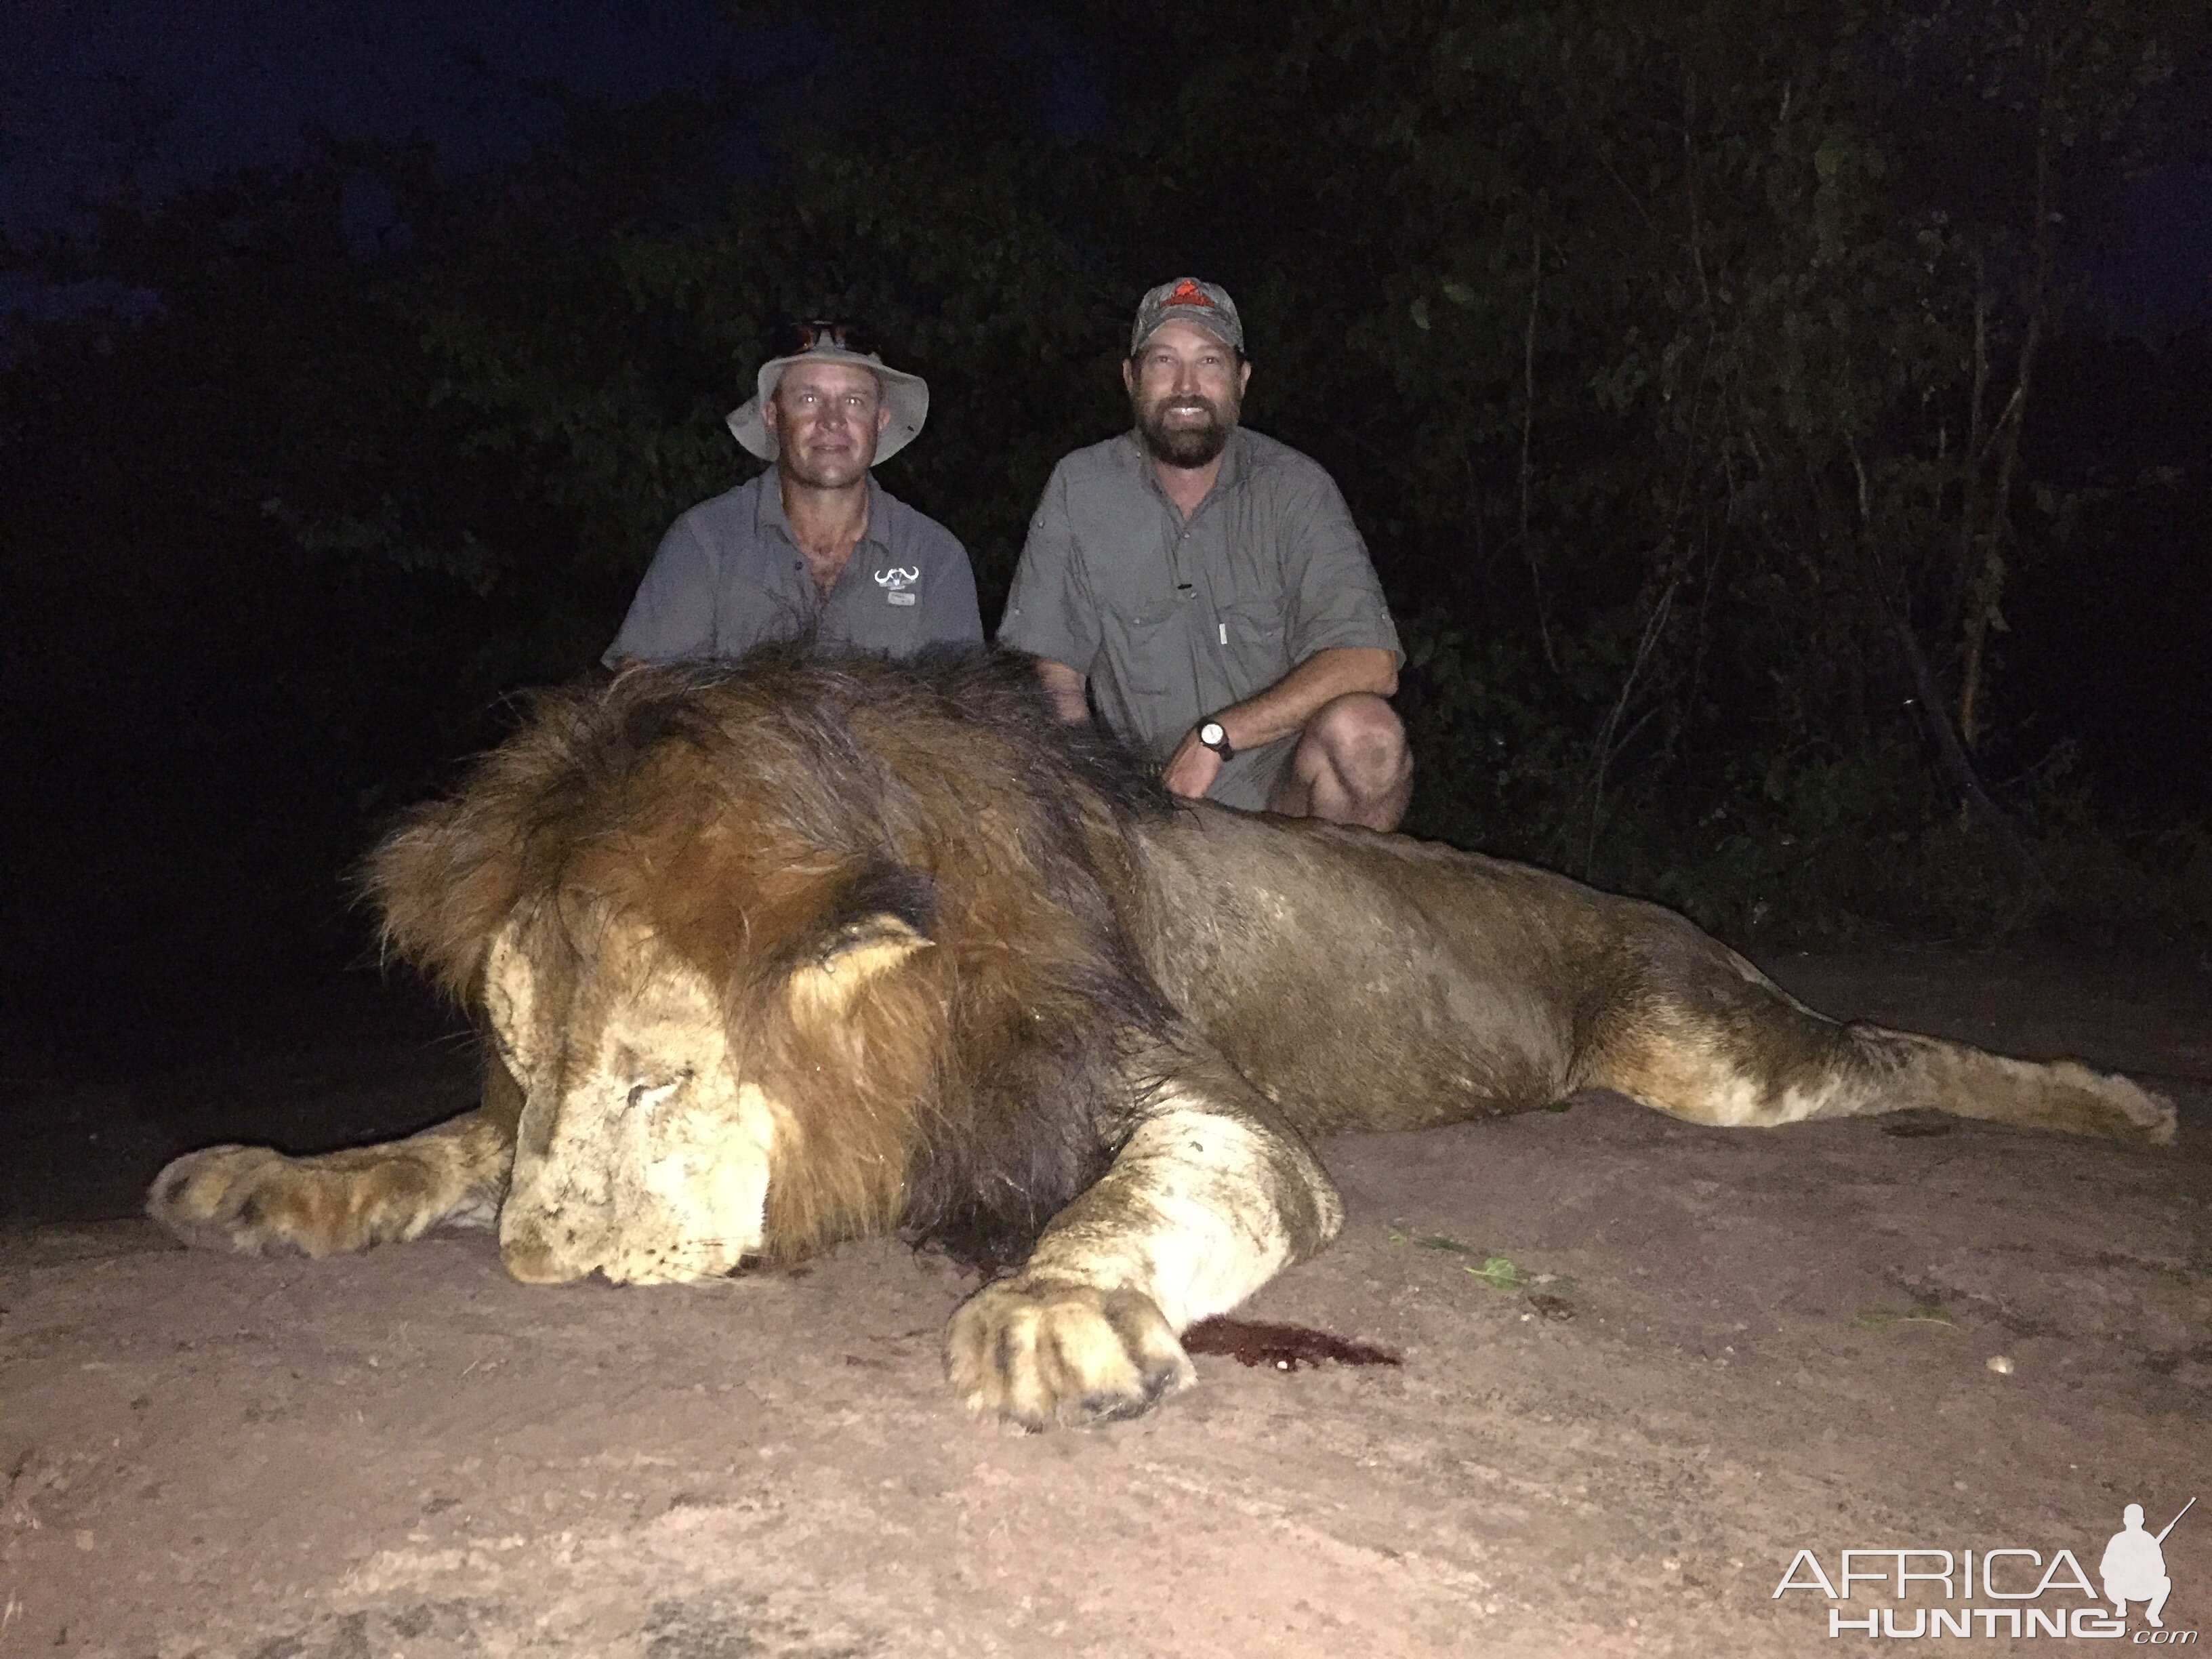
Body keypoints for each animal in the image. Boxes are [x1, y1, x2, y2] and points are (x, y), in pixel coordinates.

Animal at [151, 650, 2176, 1433]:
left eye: (658, 1073)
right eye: (545, 1064)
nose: (537, 1274)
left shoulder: (1198, 1105)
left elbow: (1140, 1195)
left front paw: (1051, 1309)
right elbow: (435, 1143)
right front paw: (276, 1177)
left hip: (1707, 1050)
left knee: (1896, 1051)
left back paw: (2128, 1102)